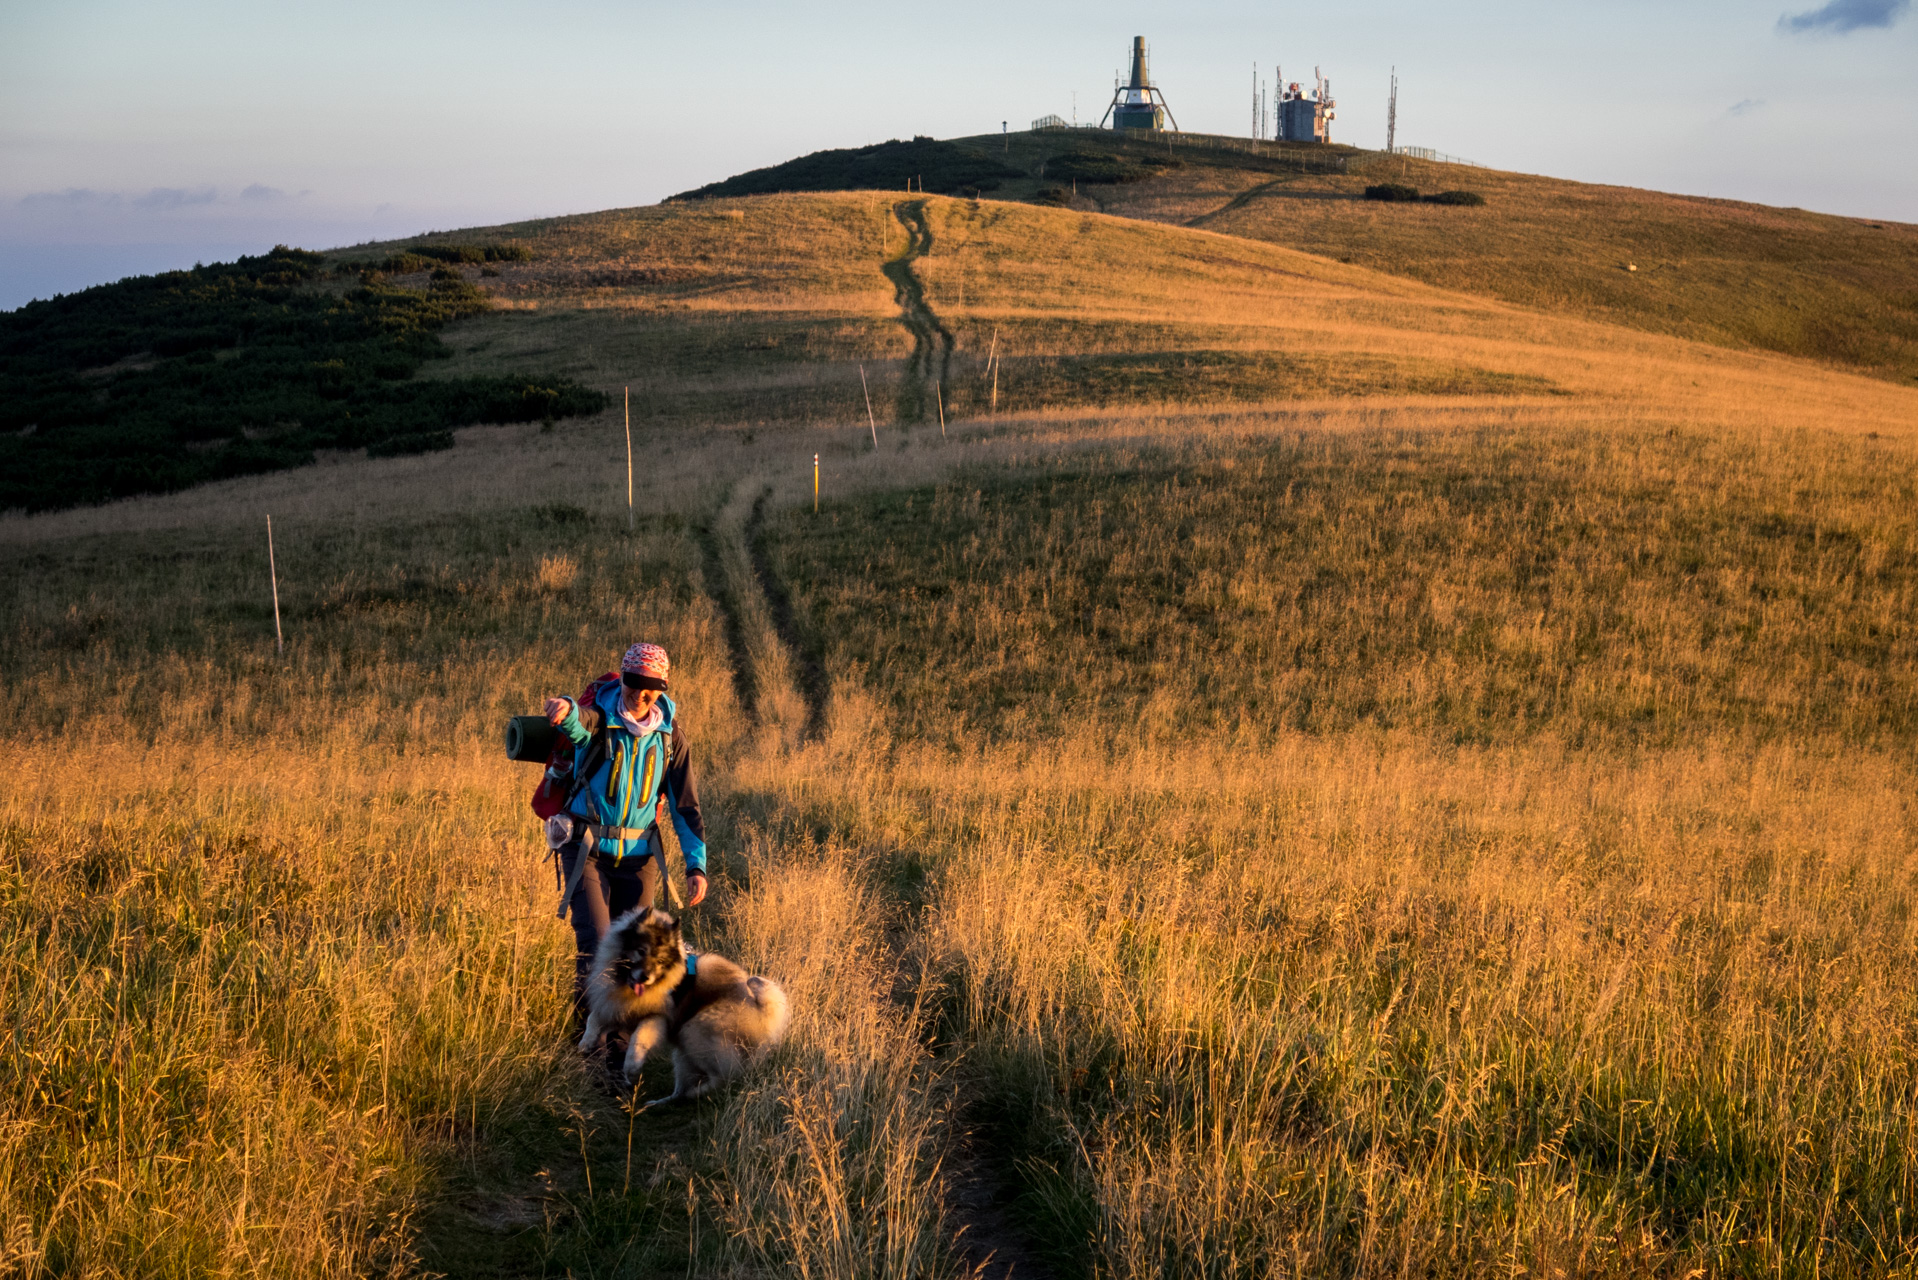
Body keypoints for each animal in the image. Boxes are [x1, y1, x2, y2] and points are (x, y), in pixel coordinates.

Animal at [583, 905, 794, 1105]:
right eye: (641, 951)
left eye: (660, 961)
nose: (645, 976)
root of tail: (760, 1010)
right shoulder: (617, 1007)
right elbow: (594, 1018)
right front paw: (586, 1041)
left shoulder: (656, 1017)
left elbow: (638, 1038)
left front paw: (632, 1067)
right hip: (683, 1055)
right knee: (682, 1090)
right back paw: (661, 1102)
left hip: (692, 1031)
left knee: (723, 1077)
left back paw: (697, 1093)